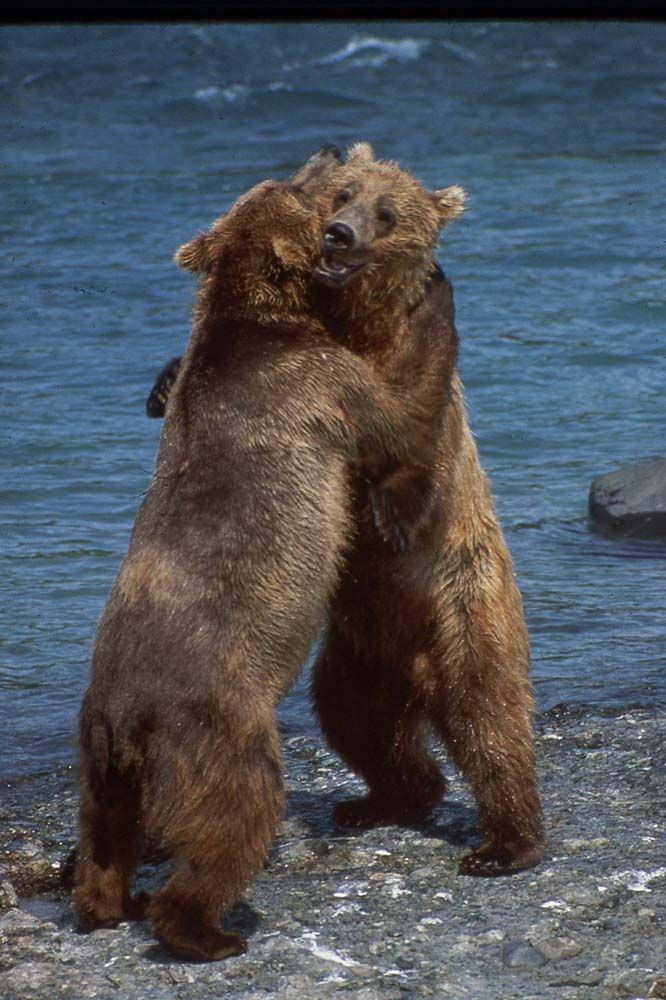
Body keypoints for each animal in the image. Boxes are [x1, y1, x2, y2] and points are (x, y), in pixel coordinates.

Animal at [75, 145, 458, 963]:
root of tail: (125, 720)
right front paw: (435, 295)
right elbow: (398, 413)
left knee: (106, 833)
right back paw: (204, 929)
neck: (258, 313)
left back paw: (108, 902)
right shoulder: (316, 382)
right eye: (309, 191)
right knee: (235, 818)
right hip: (216, 726)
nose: (323, 149)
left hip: (96, 756)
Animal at [147, 142, 544, 878]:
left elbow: (412, 439)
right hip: (356, 656)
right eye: (342, 195)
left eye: (386, 213)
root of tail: (416, 673)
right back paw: (382, 799)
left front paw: (394, 513)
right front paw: (163, 382)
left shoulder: (413, 400)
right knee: (356, 723)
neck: (355, 324)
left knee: (488, 715)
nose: (340, 235)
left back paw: (506, 843)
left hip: (466, 609)